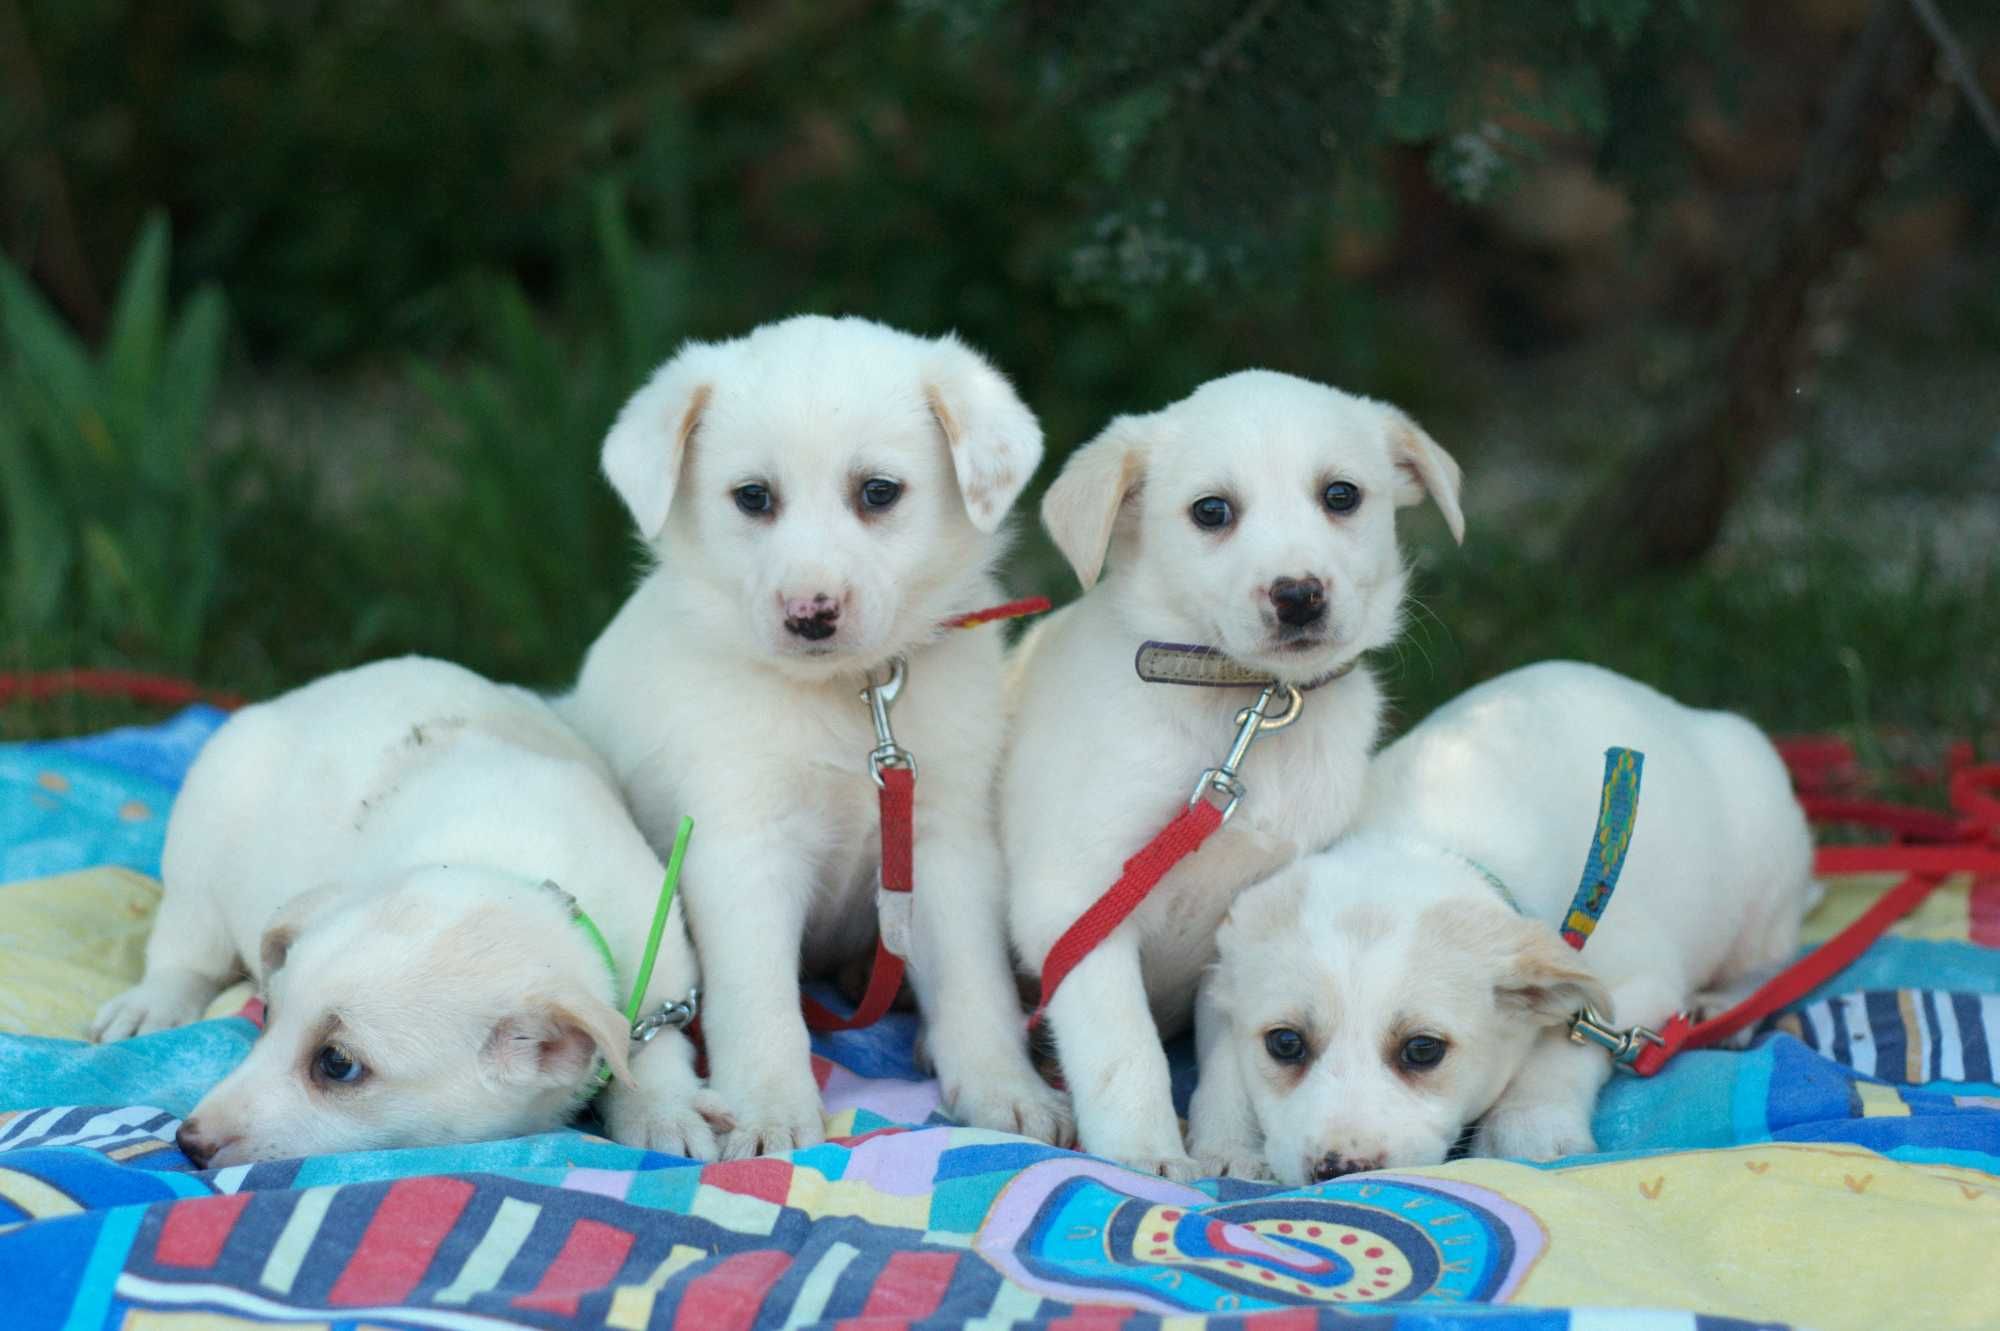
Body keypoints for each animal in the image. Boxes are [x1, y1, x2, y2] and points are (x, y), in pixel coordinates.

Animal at [94, 659, 724, 1167]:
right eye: (267, 1014)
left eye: (337, 1064)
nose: (188, 1142)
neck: (508, 868)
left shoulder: (663, 967)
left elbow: (654, 1045)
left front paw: (662, 1110)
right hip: (204, 831)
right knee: (185, 947)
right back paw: (154, 1002)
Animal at [564, 311, 1072, 1151]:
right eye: (752, 496)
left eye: (878, 492)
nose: (810, 612)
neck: (852, 695)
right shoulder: (745, 844)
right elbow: (761, 999)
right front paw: (770, 1109)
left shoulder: (945, 841)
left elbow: (976, 983)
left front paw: (1005, 1086)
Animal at [1008, 365, 1464, 1175]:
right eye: (1212, 511)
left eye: (1340, 495)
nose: (1299, 594)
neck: (1248, 706)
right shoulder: (1073, 904)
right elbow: (1124, 1048)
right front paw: (1144, 1154)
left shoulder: (1251, 922)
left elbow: (1232, 1058)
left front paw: (1226, 1149)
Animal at [1184, 659, 1816, 1175]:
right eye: (1285, 1043)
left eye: (1423, 1051)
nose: (1339, 1168)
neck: (1423, 840)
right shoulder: (1221, 976)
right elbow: (1221, 1062)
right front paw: (1226, 1144)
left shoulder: (1635, 983)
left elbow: (1561, 1043)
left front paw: (1530, 1127)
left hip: (1764, 864)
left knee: (1770, 956)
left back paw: (1726, 1005)